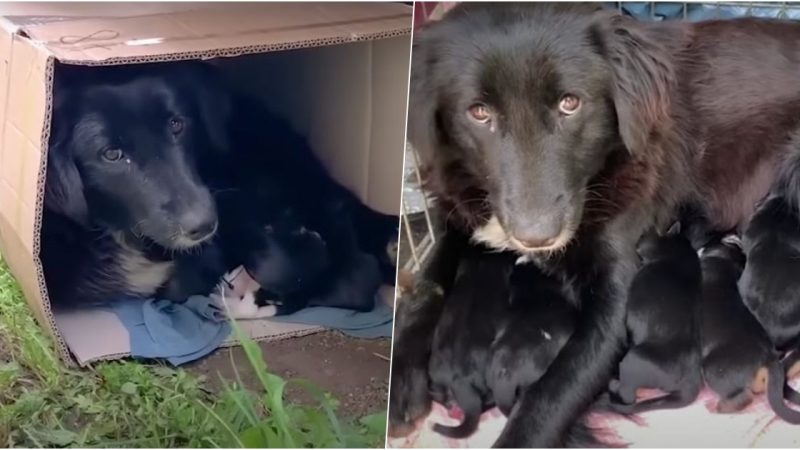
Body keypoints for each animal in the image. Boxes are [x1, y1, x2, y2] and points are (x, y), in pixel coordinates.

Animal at [608, 225, 704, 414]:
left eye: (658, 232)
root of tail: (692, 381)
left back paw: (613, 385)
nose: (647, 229)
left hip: (632, 361)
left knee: (628, 395)